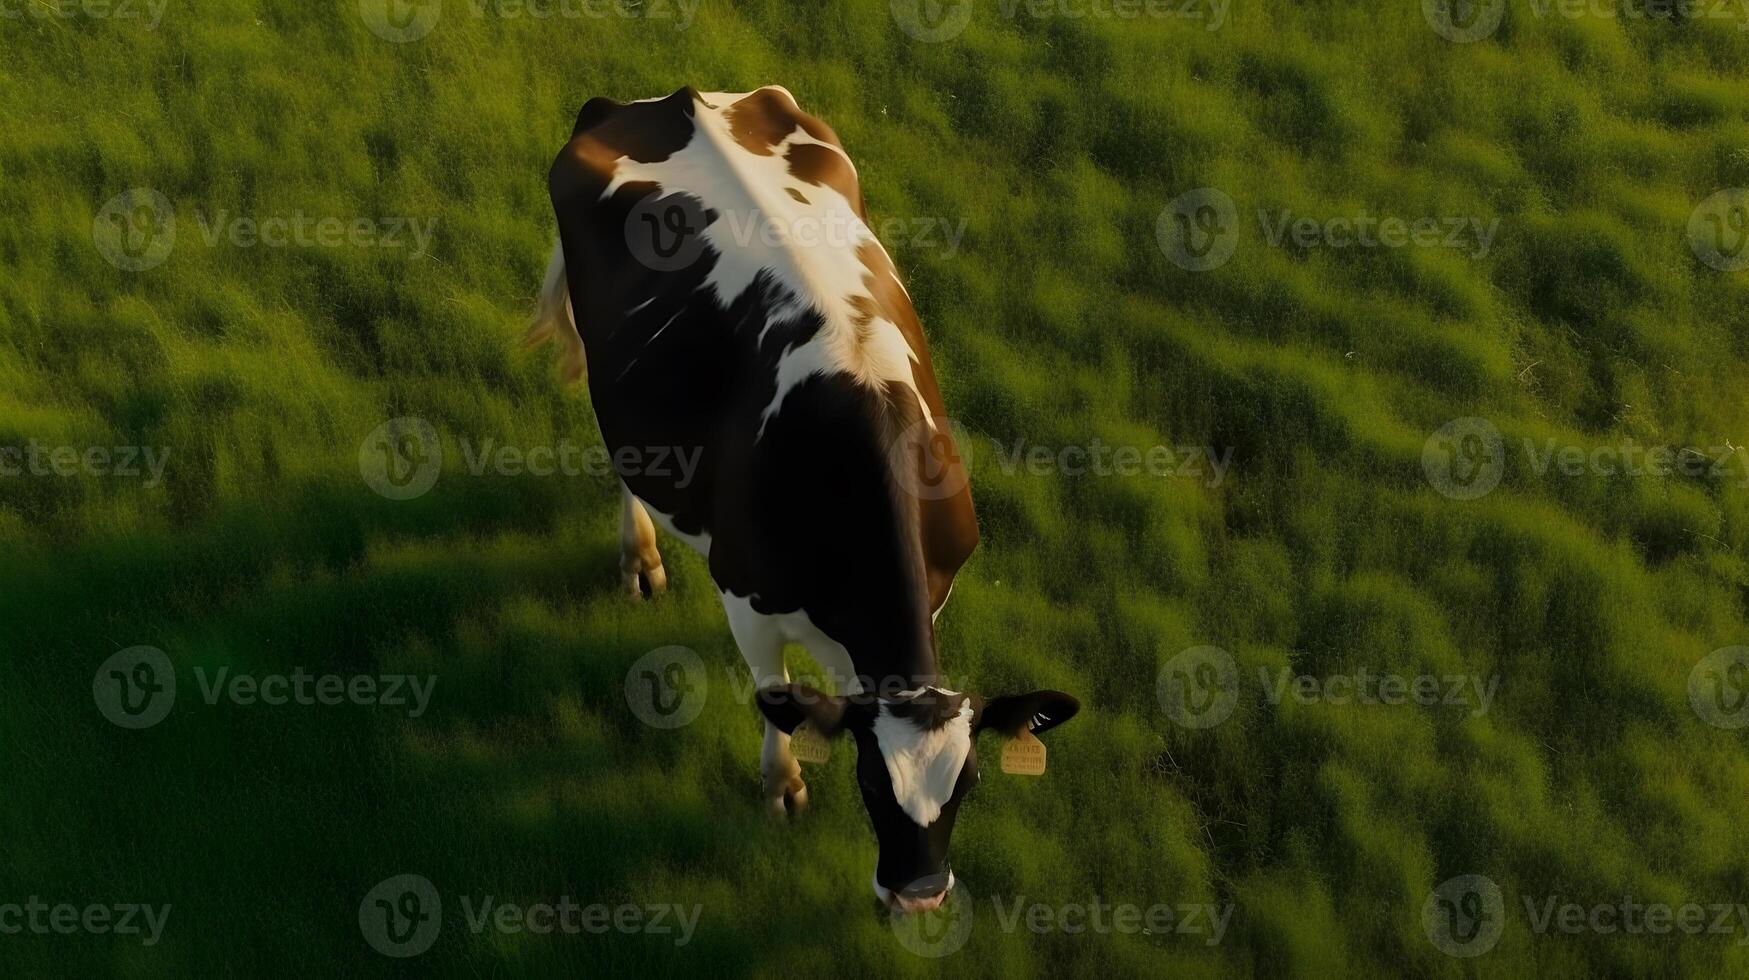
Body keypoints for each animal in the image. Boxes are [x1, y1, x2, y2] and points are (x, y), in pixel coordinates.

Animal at [524, 87, 1077, 917]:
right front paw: (780, 785)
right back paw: (638, 558)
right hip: (607, 367)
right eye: (869, 782)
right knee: (625, 464)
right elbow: (772, 694)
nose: (919, 898)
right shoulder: (743, 596)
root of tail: (664, 100)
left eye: (968, 784)